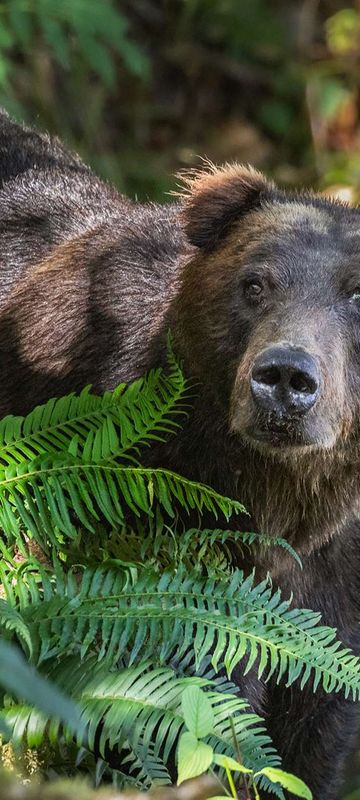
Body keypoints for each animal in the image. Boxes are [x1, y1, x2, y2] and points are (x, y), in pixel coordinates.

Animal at [0, 108, 360, 800]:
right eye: (255, 283)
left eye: (357, 296)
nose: (284, 378)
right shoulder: (157, 530)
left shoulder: (338, 579)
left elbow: (314, 727)